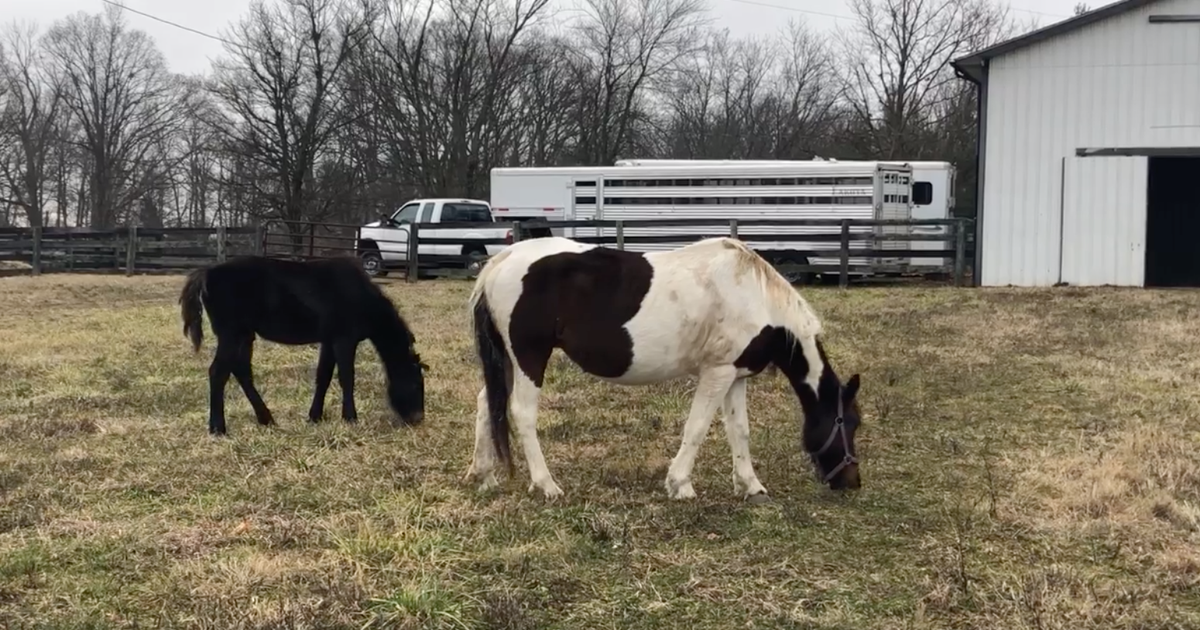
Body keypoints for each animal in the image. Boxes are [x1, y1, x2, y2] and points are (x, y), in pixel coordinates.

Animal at [178, 255, 428, 436]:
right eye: (416, 384)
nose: (417, 419)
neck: (360, 296)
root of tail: (207, 273)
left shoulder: (329, 341)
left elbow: (323, 376)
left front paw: (315, 417)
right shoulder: (344, 339)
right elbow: (346, 377)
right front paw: (350, 417)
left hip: (244, 335)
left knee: (241, 372)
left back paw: (266, 419)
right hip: (231, 334)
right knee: (218, 373)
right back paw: (218, 428)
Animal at [464, 235, 863, 502]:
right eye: (847, 422)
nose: (851, 482)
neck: (754, 296)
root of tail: (502, 260)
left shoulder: (735, 375)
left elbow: (740, 431)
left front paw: (750, 486)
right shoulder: (717, 373)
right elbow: (697, 428)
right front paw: (680, 484)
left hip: (507, 359)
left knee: (487, 402)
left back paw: (482, 475)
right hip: (530, 357)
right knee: (522, 413)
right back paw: (546, 484)